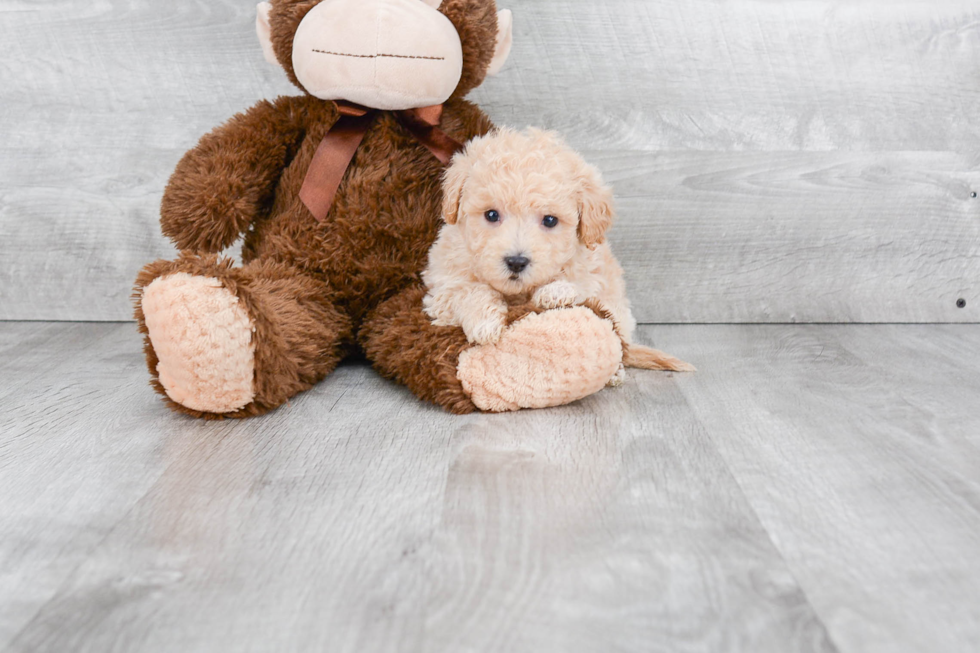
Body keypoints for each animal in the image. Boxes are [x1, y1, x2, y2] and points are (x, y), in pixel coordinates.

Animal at [424, 126, 692, 376]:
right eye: (491, 215)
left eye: (550, 220)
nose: (516, 262)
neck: (517, 293)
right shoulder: (440, 289)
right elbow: (467, 291)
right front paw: (485, 322)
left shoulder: (594, 274)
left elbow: (580, 284)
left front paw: (555, 292)